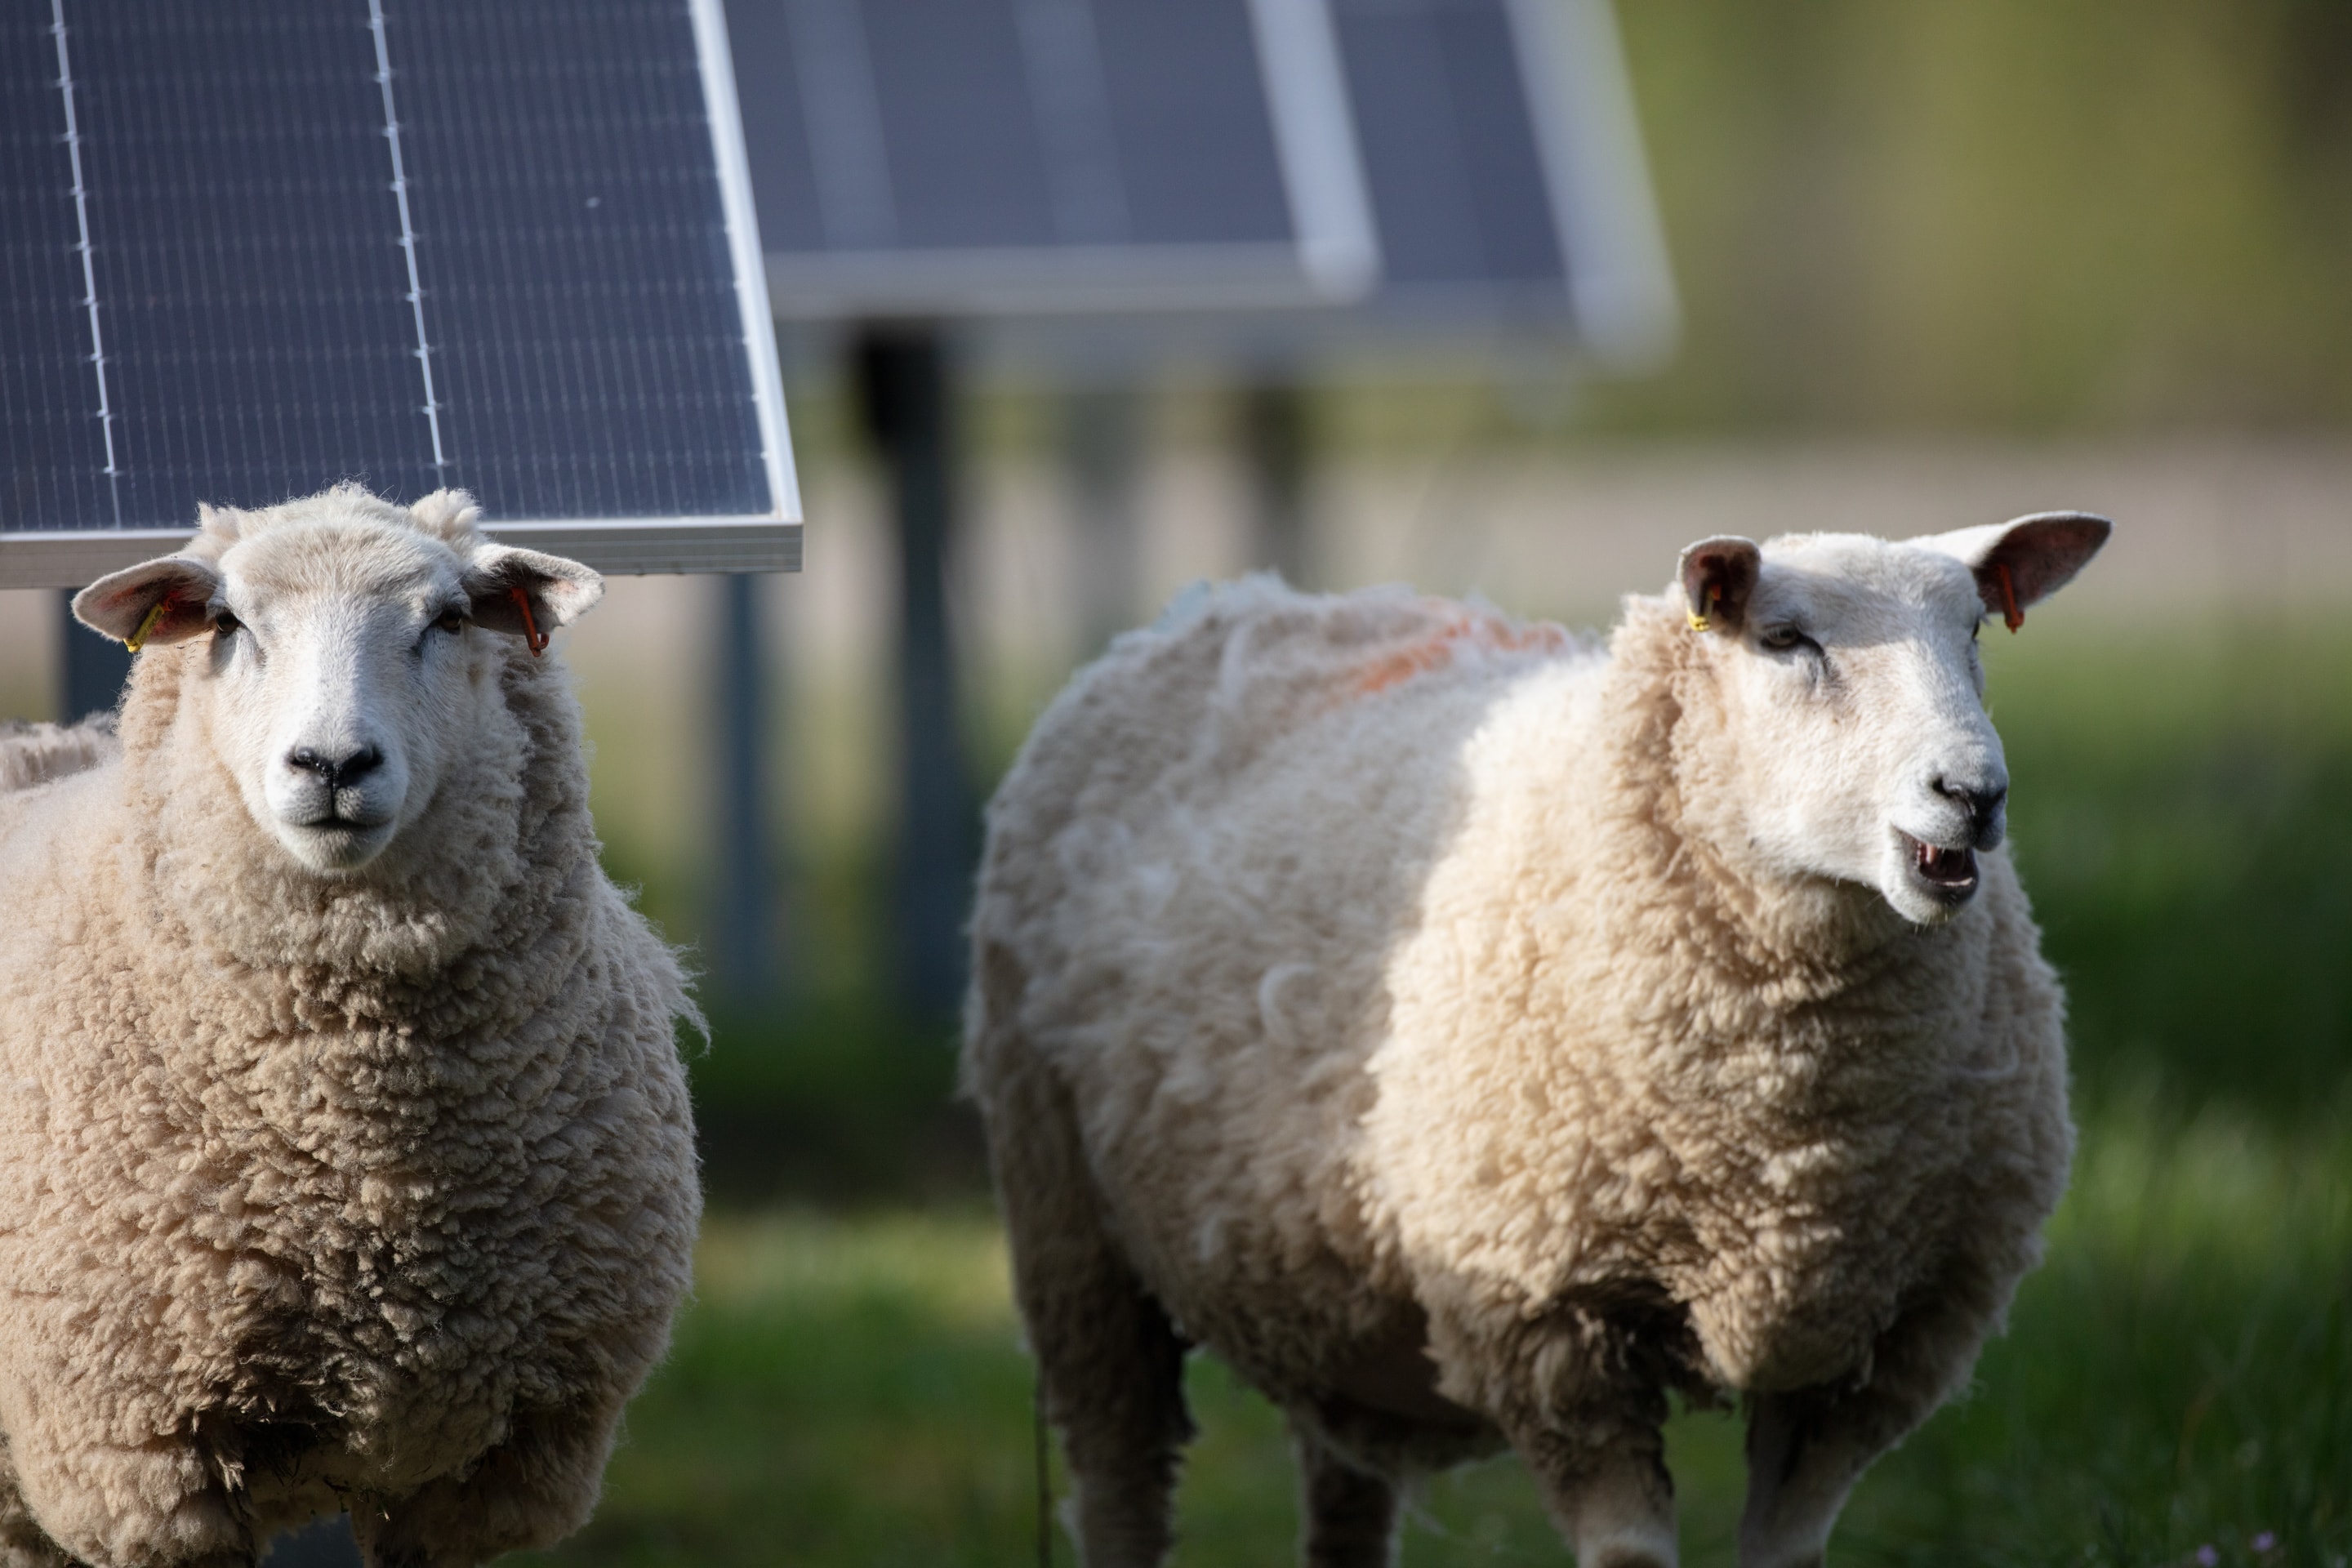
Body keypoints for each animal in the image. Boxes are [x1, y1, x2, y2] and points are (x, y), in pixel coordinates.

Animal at [955, 514, 2117, 1568]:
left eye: (1975, 629)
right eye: (1786, 639)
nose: (1973, 795)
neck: (1794, 1159)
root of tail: (1226, 602)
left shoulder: (1878, 1348)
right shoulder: (1549, 1323)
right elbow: (1630, 1555)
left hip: (1328, 1289)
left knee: (1343, 1504)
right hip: (1071, 1239)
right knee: (1120, 1487)